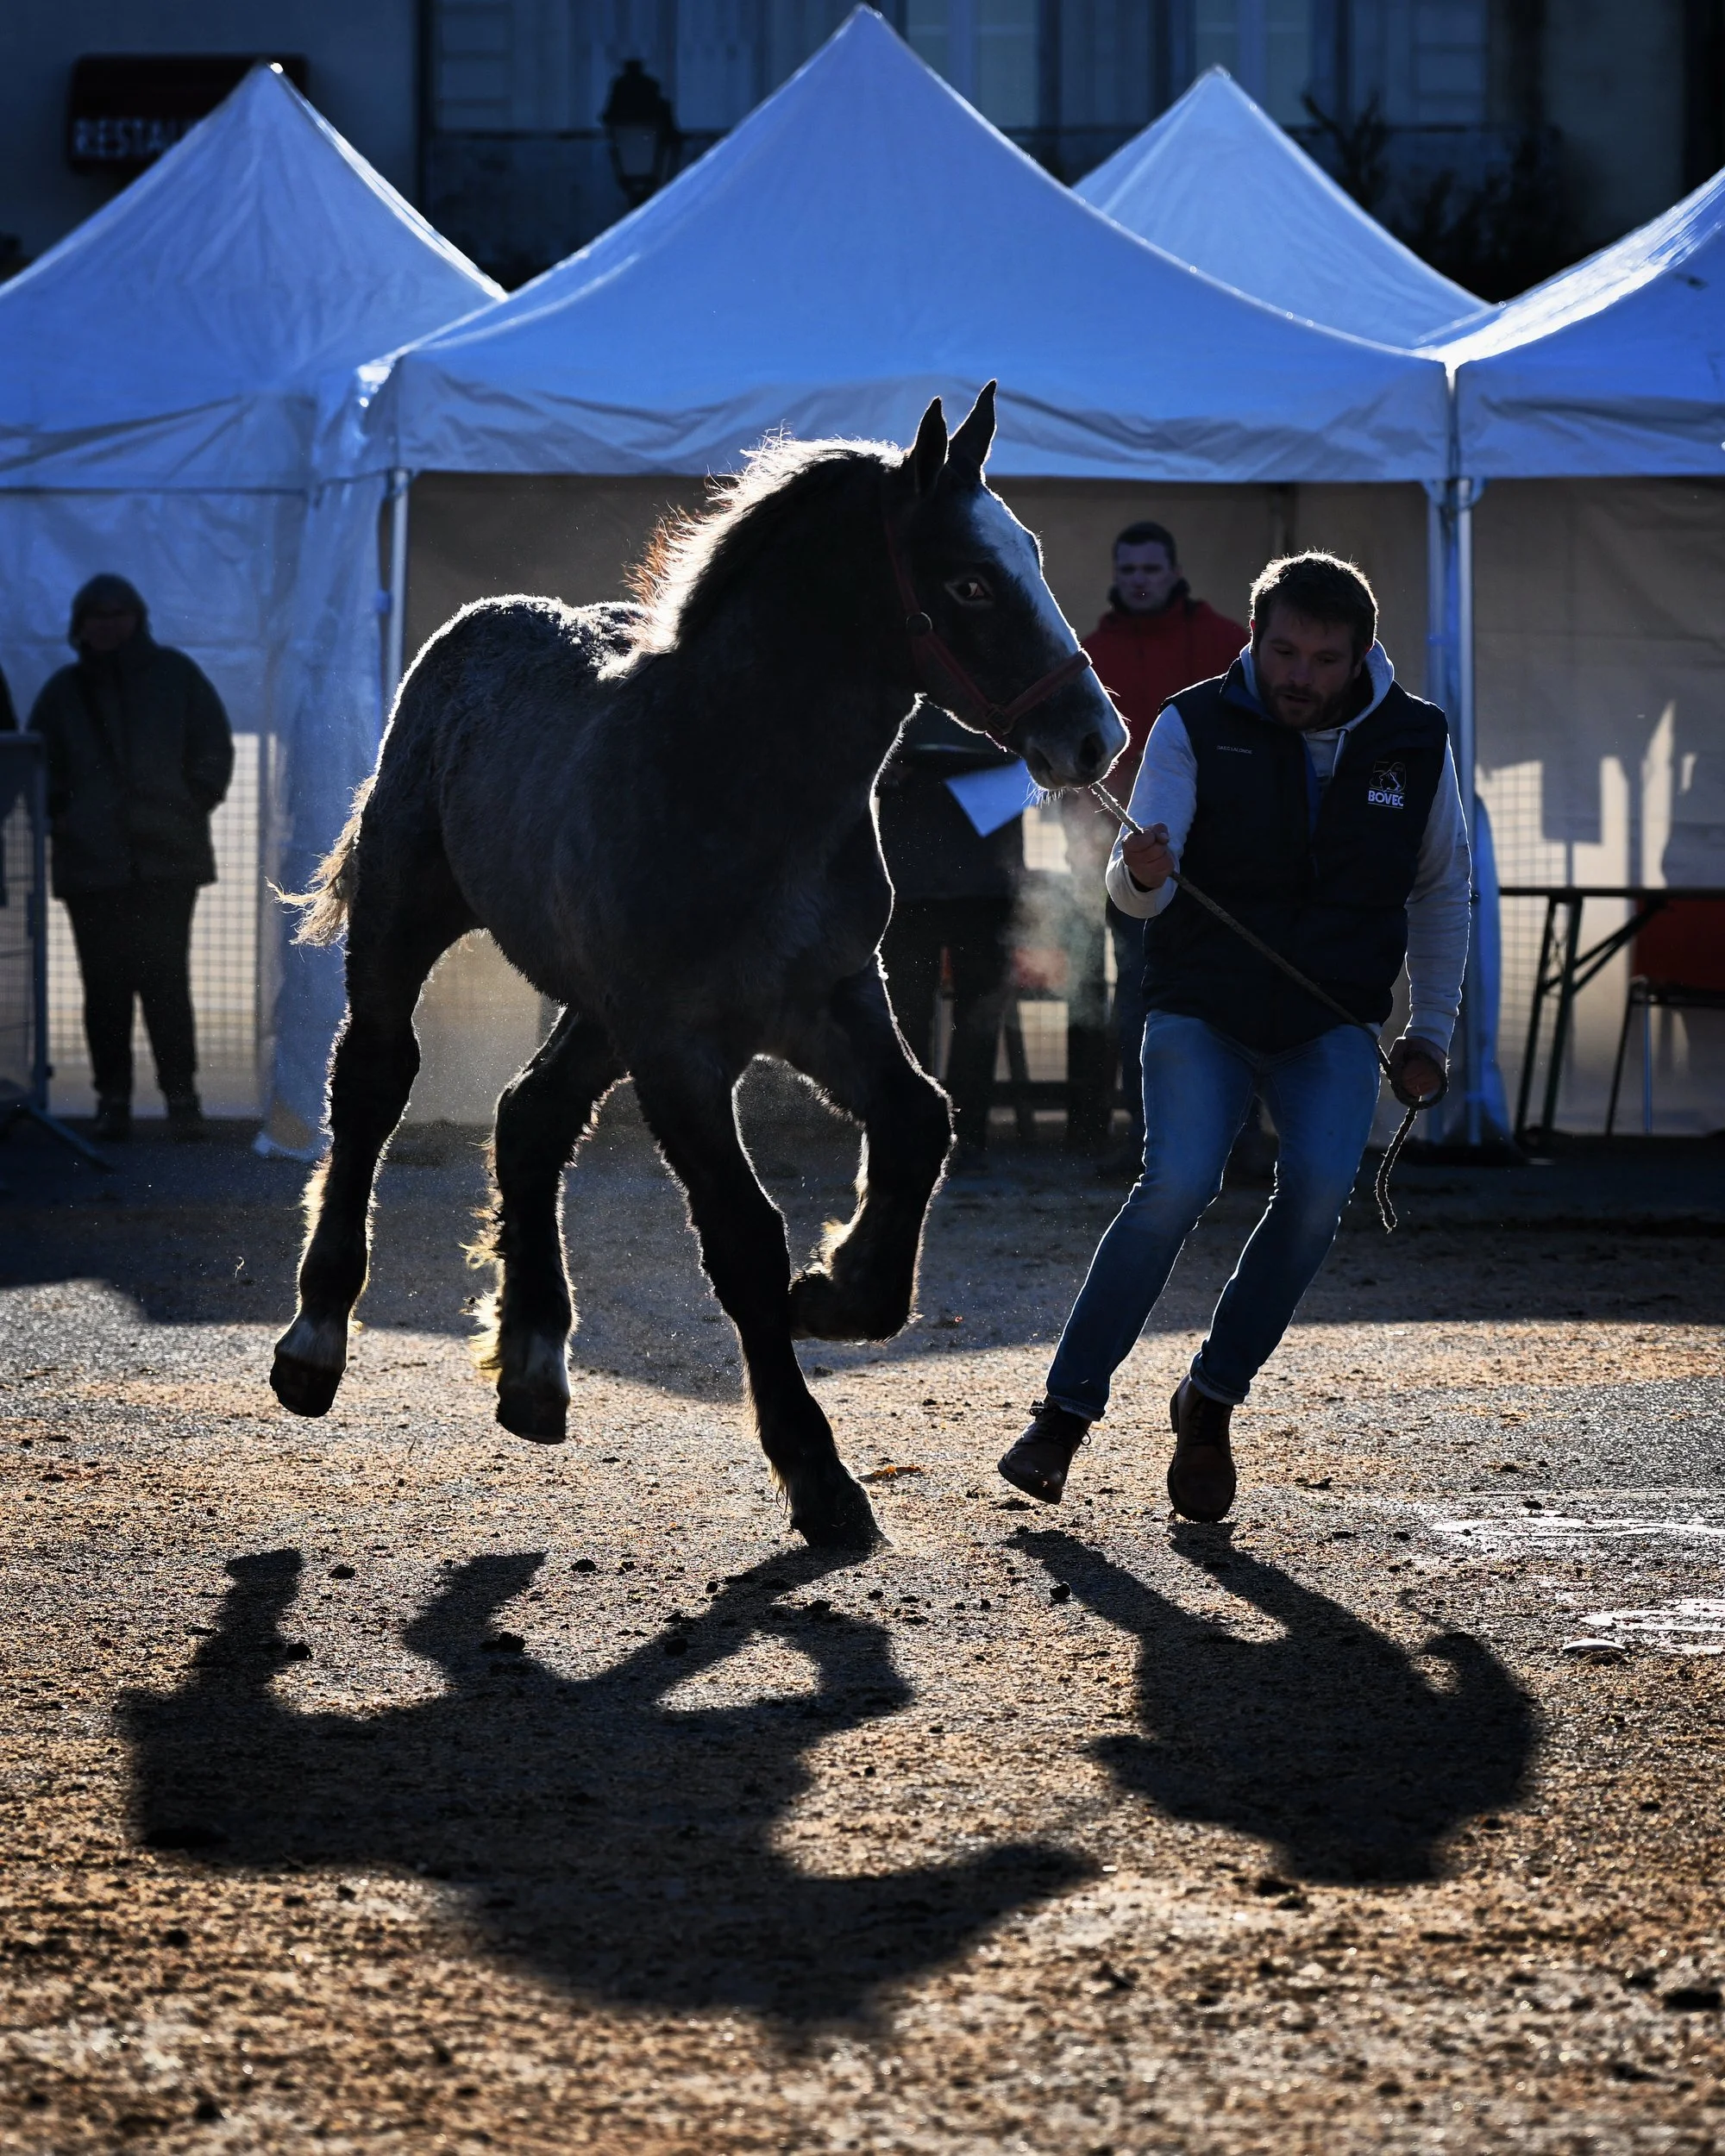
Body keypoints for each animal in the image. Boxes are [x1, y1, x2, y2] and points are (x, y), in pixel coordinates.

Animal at [271, 382, 1126, 1549]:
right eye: (966, 579)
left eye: (1030, 551)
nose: (1094, 736)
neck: (731, 776)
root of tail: (471, 629)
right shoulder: (681, 1045)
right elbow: (743, 1238)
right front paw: (816, 1469)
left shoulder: (827, 998)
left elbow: (920, 1119)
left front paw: (841, 1290)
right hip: (410, 925)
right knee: (372, 1083)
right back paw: (314, 1343)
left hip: (598, 1007)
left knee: (529, 1115)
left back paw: (533, 1368)